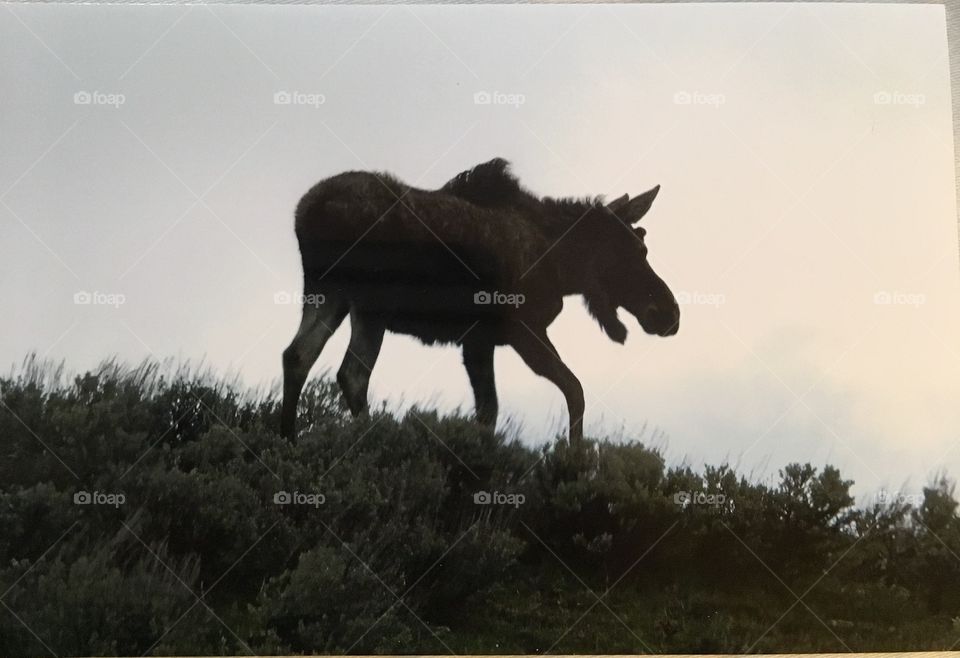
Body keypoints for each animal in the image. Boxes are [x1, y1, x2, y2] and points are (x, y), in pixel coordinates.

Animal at [282, 158, 680, 440]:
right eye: (637, 248)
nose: (670, 313)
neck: (563, 267)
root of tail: (307, 211)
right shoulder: (522, 330)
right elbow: (574, 390)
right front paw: (574, 456)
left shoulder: (477, 341)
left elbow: (489, 411)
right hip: (370, 302)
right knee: (351, 373)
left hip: (327, 293)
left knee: (299, 355)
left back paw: (288, 439)